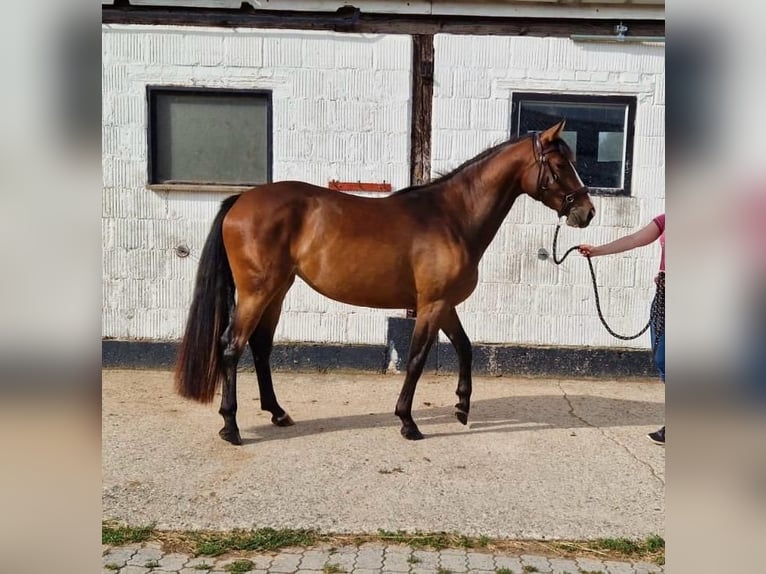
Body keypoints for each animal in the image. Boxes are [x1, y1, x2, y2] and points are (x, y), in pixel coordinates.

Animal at [177, 120, 596, 446]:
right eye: (561, 164)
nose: (587, 212)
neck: (451, 217)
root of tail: (241, 199)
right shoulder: (431, 305)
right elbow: (417, 359)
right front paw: (408, 422)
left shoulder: (444, 305)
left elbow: (465, 348)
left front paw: (461, 407)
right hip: (256, 292)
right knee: (231, 347)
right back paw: (231, 427)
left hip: (277, 291)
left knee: (260, 347)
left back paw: (278, 414)